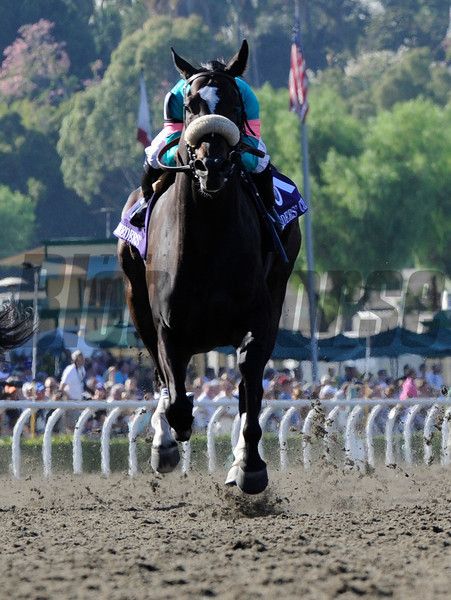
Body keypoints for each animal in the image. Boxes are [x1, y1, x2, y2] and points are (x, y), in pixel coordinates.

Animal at [118, 39, 302, 494]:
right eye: (190, 106)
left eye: (235, 104)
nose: (212, 164)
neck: (209, 243)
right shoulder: (167, 325)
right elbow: (176, 396)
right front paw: (168, 441)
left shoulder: (259, 317)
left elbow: (249, 383)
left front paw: (249, 466)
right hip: (135, 298)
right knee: (162, 377)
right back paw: (165, 443)